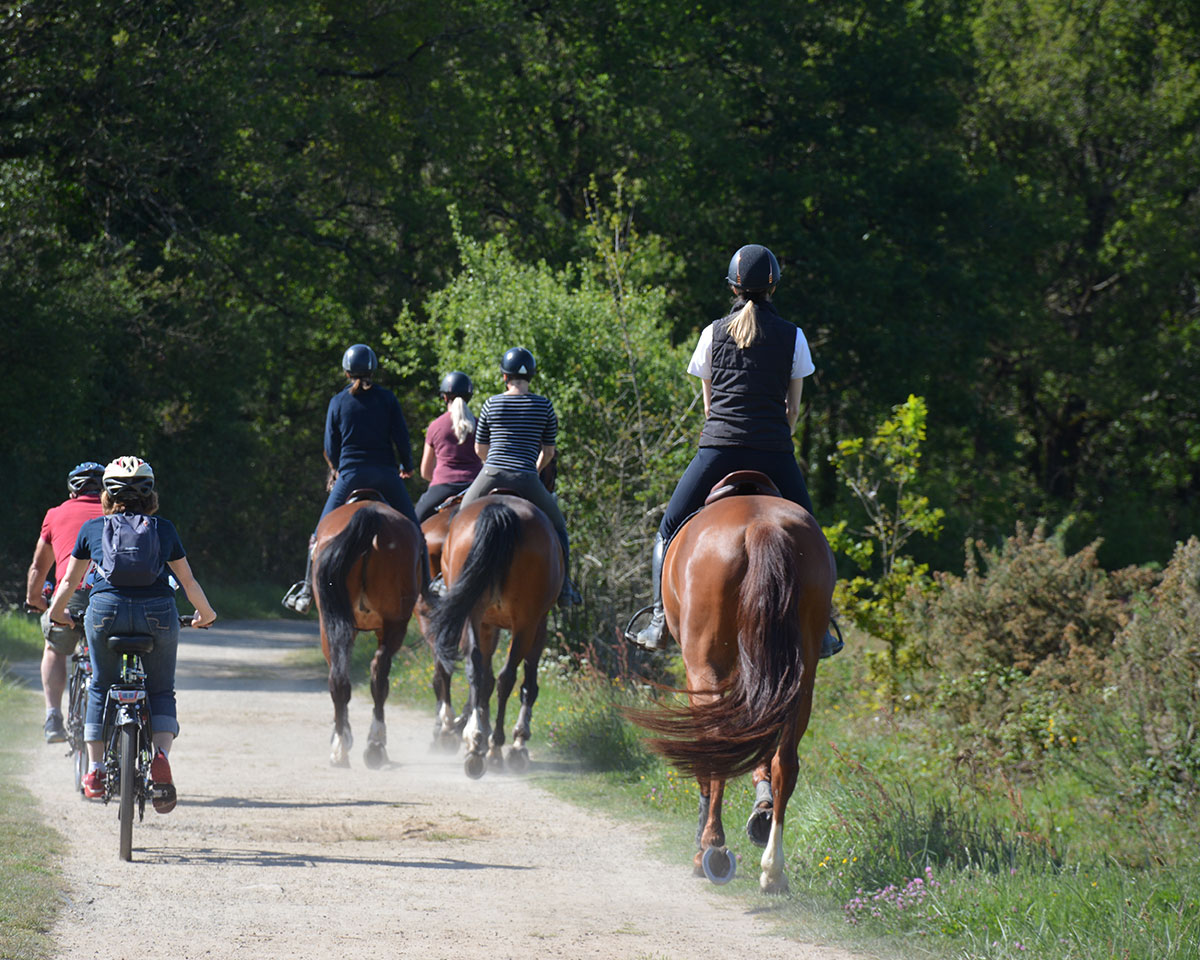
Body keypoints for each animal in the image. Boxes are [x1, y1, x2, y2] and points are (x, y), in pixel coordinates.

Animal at [312, 492, 424, 768]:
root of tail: (371, 516)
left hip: (333, 625)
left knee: (343, 678)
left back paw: (344, 746)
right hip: (393, 624)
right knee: (377, 676)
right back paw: (372, 745)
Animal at [429, 494, 564, 777]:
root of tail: (501, 510)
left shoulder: (487, 625)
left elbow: (485, 679)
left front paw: (474, 728)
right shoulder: (539, 624)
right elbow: (527, 683)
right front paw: (518, 742)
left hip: (472, 612)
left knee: (476, 669)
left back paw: (475, 741)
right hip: (526, 623)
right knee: (507, 677)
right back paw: (495, 748)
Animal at [628, 470, 835, 892]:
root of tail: (761, 526)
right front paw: (761, 810)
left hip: (705, 668)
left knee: (717, 746)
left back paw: (712, 849)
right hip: (802, 676)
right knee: (785, 760)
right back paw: (773, 869)